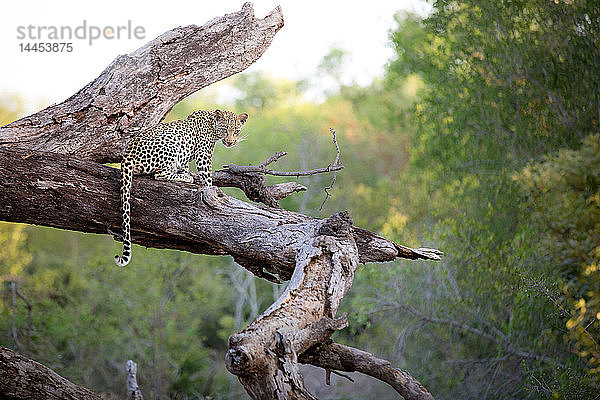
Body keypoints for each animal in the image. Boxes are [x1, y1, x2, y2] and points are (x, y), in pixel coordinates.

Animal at [113, 108, 247, 268]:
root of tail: (127, 154)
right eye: (225, 130)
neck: (212, 125)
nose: (231, 142)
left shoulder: (185, 156)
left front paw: (187, 173)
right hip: (170, 145)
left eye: (237, 131)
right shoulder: (203, 155)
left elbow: (185, 166)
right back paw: (186, 178)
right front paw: (209, 187)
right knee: (159, 174)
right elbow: (207, 177)